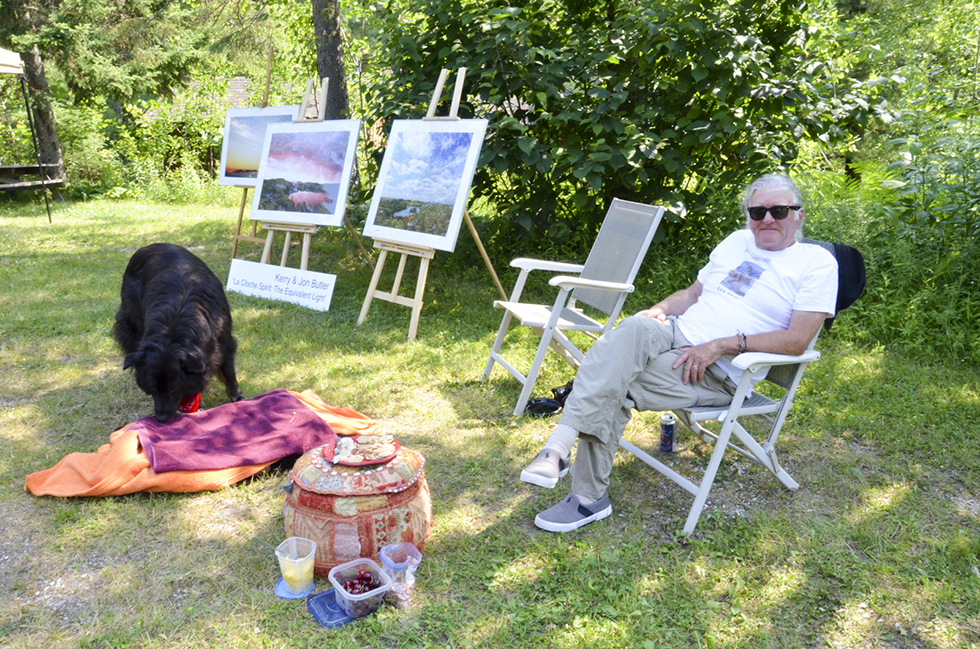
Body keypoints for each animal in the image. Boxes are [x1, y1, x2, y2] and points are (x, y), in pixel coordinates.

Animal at [114, 243, 244, 420]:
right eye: (153, 388)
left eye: (173, 389)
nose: (161, 418)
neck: (173, 330)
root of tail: (150, 246)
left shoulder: (224, 342)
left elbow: (229, 371)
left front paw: (237, 396)